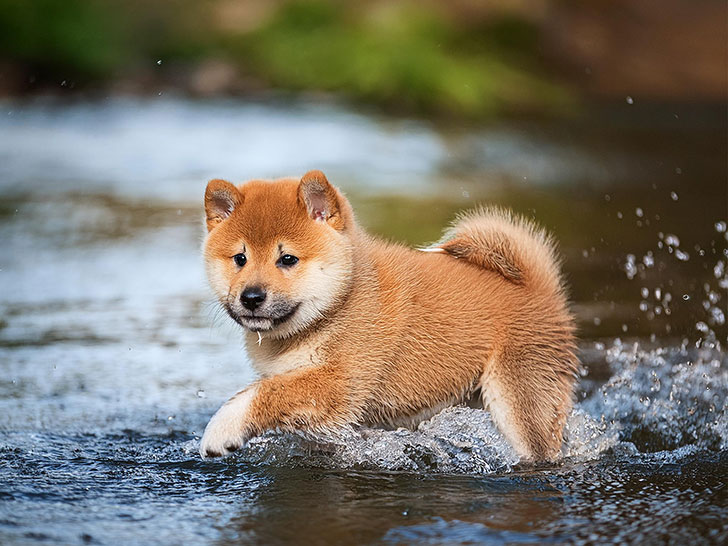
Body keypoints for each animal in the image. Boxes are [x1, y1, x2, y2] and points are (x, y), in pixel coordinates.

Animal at [199, 169, 580, 460]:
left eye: (287, 259)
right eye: (240, 258)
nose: (251, 297)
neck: (341, 302)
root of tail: (539, 286)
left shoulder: (341, 381)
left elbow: (263, 394)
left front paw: (221, 430)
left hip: (522, 400)